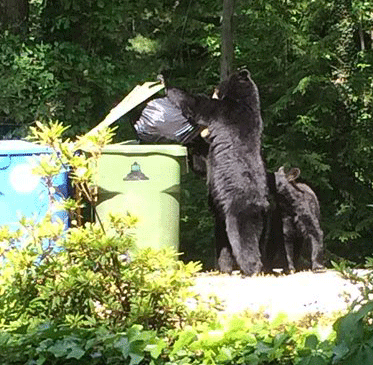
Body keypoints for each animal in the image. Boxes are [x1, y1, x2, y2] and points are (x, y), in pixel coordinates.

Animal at [166, 69, 268, 274]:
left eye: (217, 88)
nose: (214, 89)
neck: (244, 102)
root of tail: (261, 204)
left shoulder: (224, 112)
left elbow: (197, 104)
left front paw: (164, 81)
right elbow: (202, 162)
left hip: (238, 211)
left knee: (244, 240)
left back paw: (251, 268)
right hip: (228, 217)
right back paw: (226, 267)